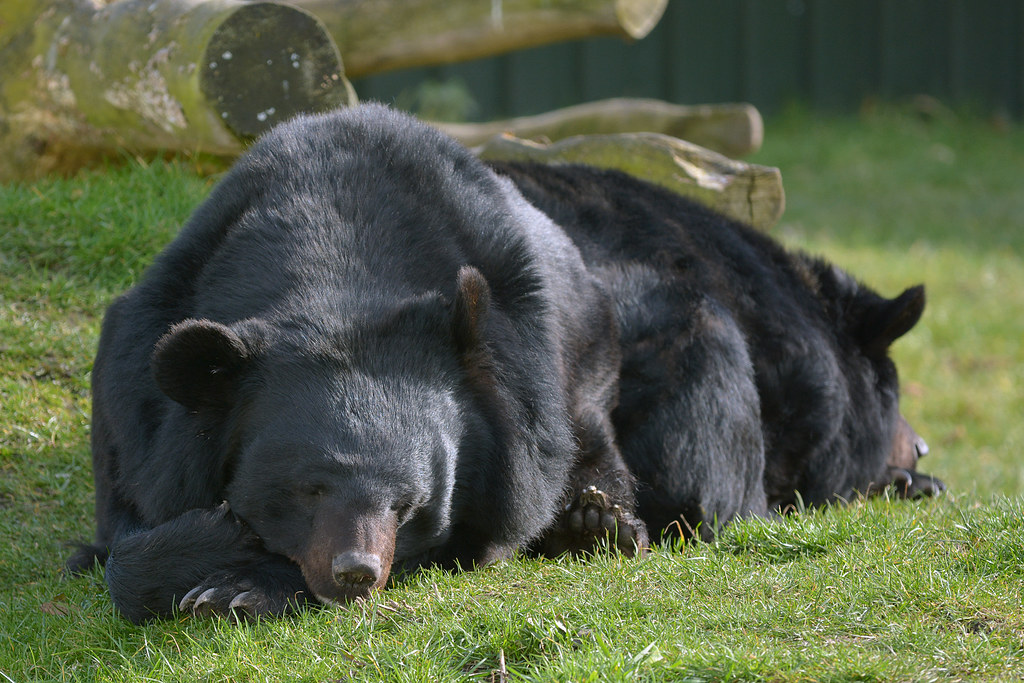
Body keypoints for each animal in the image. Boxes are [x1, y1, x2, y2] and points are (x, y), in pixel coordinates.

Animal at [66, 104, 648, 623]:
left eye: (407, 505)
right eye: (309, 489)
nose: (356, 572)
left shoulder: (516, 423)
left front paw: (240, 587)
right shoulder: (134, 380)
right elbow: (130, 515)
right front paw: (212, 542)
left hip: (586, 352)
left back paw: (598, 520)